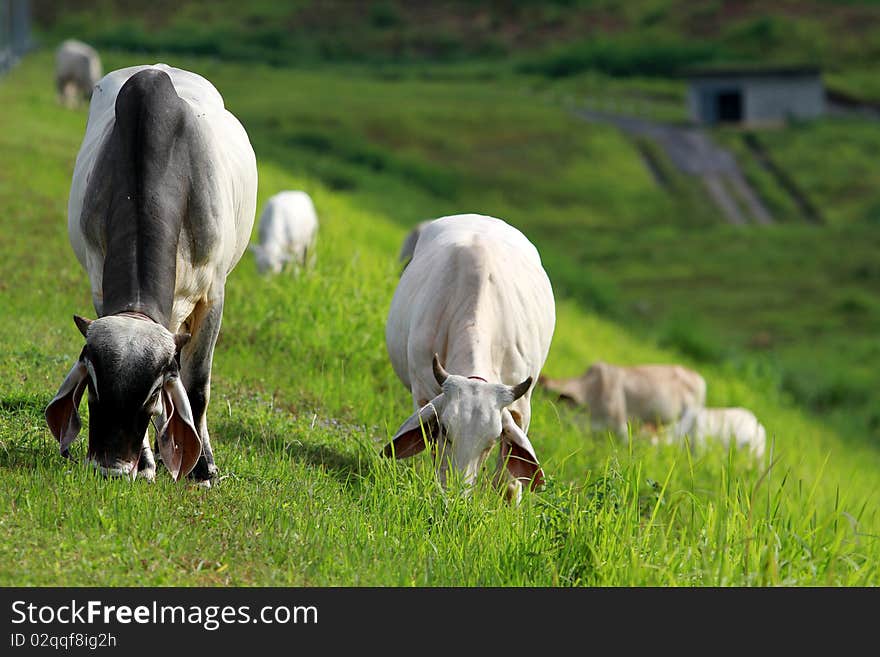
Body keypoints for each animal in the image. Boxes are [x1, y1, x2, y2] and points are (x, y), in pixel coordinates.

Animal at [45, 64, 258, 484]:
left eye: (153, 390)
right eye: (93, 385)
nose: (111, 467)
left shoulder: (213, 295)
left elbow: (197, 387)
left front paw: (202, 467)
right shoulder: (100, 285)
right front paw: (146, 461)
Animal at [382, 214, 552, 502]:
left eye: (492, 441)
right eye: (445, 430)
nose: (456, 496)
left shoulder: (521, 405)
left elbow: (509, 476)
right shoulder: (423, 392)